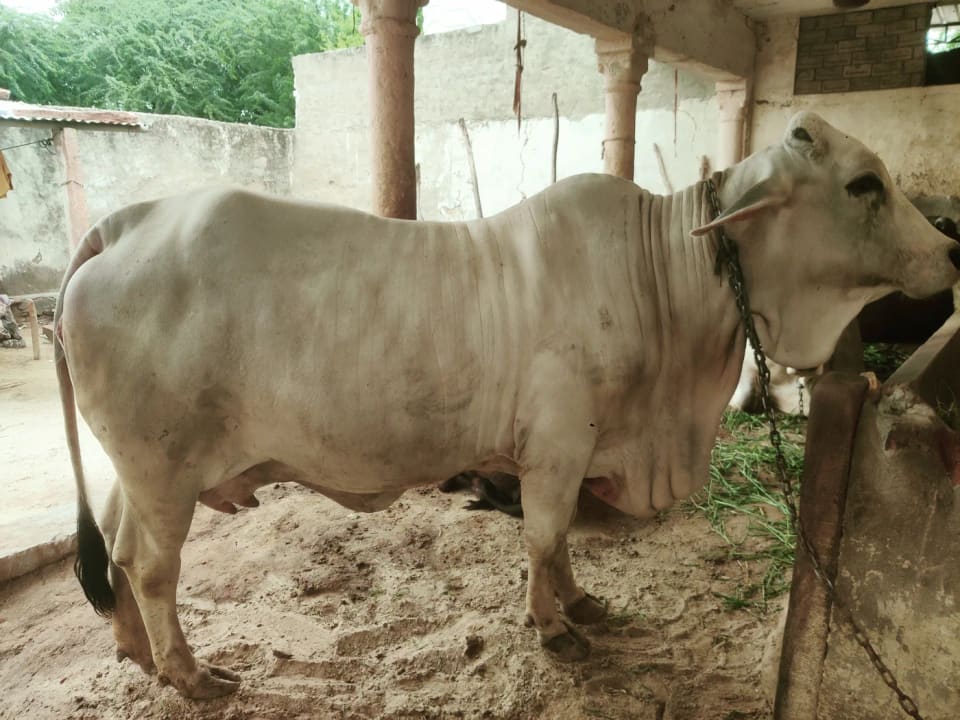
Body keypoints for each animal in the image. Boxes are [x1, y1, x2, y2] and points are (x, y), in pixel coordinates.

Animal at [56, 111, 960, 698]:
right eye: (863, 184)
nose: (952, 250)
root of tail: (128, 222)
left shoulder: (584, 446)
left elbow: (559, 548)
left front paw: (581, 601)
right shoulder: (557, 444)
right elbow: (544, 534)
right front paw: (554, 627)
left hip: (141, 471)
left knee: (119, 552)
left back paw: (134, 650)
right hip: (163, 470)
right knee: (152, 568)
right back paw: (189, 673)